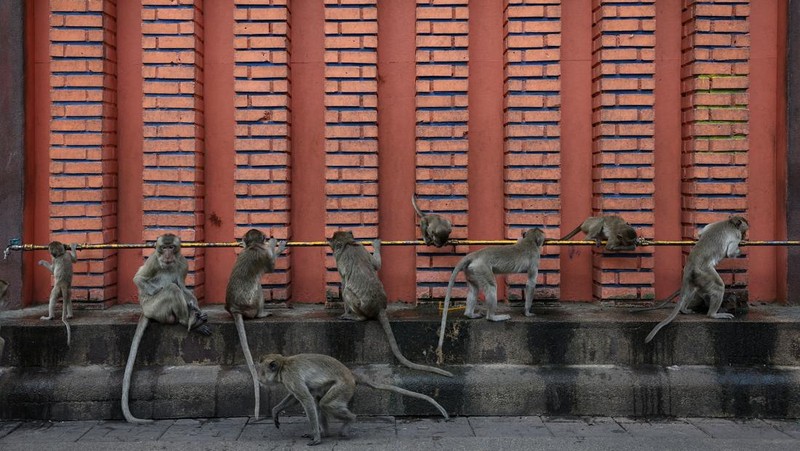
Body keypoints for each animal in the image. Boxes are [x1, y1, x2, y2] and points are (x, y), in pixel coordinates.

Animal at [120, 235, 211, 426]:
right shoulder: (154, 260)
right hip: (155, 308)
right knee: (171, 289)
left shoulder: (183, 263)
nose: (168, 254)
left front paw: (195, 307)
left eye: (171, 247)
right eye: (164, 247)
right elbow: (139, 278)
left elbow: (183, 286)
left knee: (176, 287)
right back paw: (188, 321)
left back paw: (194, 318)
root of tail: (144, 310)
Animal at [225, 230, 288, 420]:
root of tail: (234, 308)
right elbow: (272, 266)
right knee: (258, 286)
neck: (253, 246)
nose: (269, 239)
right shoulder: (263, 254)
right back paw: (262, 313)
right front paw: (276, 244)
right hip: (251, 305)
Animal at [260, 354, 446, 446]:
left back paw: (348, 421)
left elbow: (306, 400)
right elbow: (296, 397)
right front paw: (275, 411)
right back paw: (326, 432)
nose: (260, 380)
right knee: (320, 401)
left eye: (262, 372)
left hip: (344, 387)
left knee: (324, 404)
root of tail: (350, 373)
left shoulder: (290, 376)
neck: (283, 365)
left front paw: (317, 438)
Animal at [324, 233, 450, 378]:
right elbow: (376, 265)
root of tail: (379, 306)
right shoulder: (361, 248)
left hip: (363, 307)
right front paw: (376, 245)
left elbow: (344, 282)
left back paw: (358, 317)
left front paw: (346, 312)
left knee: (347, 292)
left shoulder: (341, 259)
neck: (348, 244)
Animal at [438, 228, 544, 362]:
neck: (529, 240)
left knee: (474, 289)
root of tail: (476, 255)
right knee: (491, 286)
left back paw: (470, 314)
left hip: (471, 270)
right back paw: (492, 317)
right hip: (481, 268)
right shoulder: (535, 257)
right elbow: (531, 283)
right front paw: (527, 312)